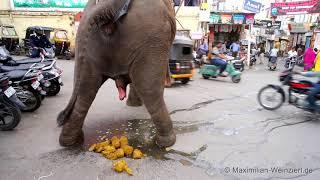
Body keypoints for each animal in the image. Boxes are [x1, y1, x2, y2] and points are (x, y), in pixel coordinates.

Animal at [57, 0, 178, 148]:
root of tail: (108, 4)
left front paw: (133, 105)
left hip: (88, 42)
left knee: (86, 90)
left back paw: (70, 142)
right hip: (152, 38)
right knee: (149, 89)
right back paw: (166, 142)